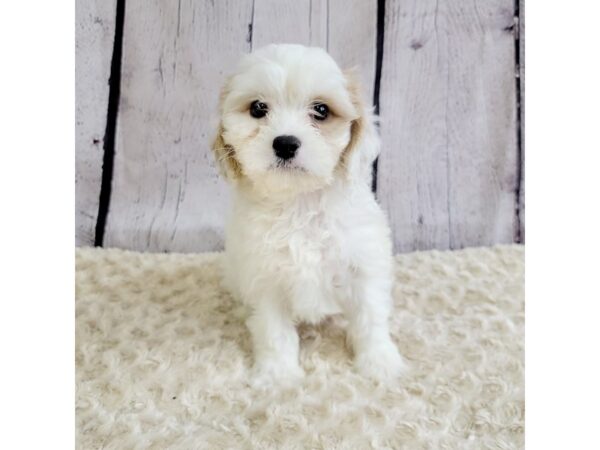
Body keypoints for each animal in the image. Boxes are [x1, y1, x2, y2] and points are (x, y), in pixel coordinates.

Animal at [213, 44, 406, 384]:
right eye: (258, 108)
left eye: (321, 111)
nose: (285, 143)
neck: (299, 203)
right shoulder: (265, 278)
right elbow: (274, 331)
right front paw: (277, 374)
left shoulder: (363, 266)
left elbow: (370, 317)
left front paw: (379, 362)